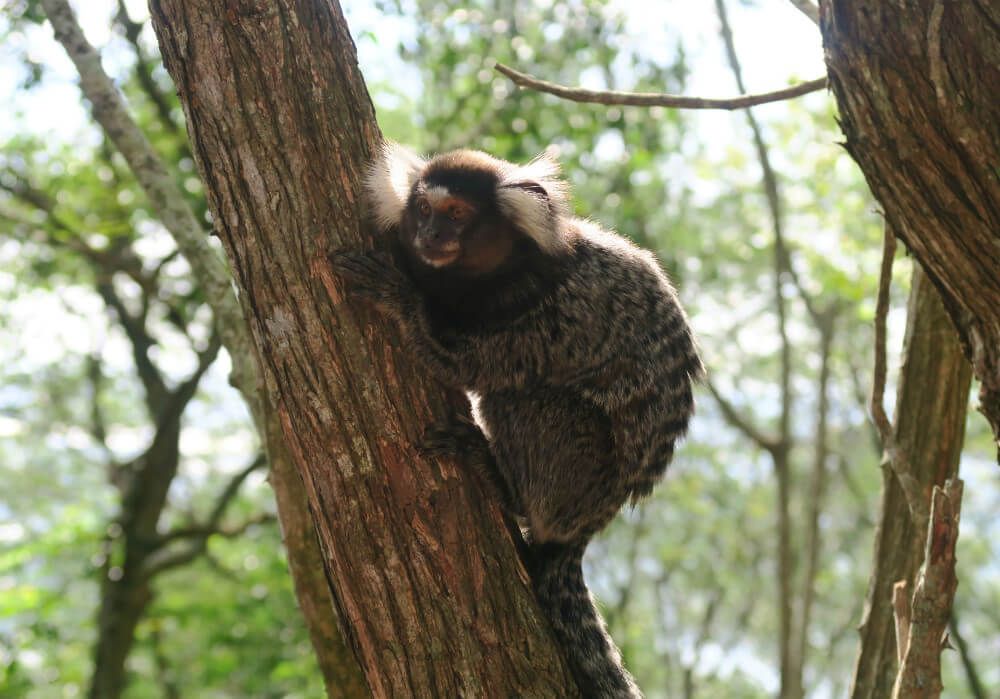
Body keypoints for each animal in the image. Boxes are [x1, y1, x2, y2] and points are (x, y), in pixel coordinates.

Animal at [334, 144, 704, 699]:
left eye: (456, 214)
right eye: (423, 209)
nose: (430, 236)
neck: (500, 269)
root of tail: (591, 523)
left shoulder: (556, 313)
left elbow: (464, 365)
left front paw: (399, 297)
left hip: (575, 475)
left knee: (526, 398)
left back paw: (497, 477)